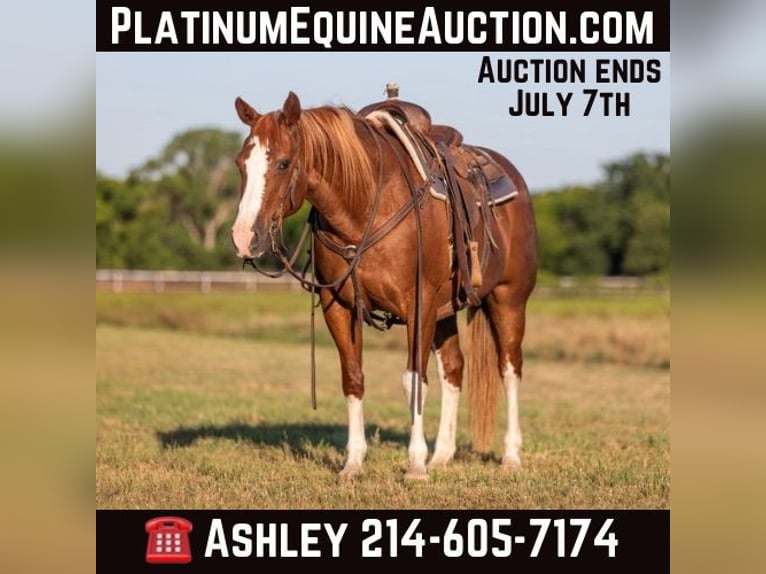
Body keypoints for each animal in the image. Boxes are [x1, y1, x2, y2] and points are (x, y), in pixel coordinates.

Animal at [230, 91, 538, 480]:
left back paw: (510, 456)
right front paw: (353, 463)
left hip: (509, 298)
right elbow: (353, 377)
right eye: (241, 163)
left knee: (509, 368)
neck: (364, 208)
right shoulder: (338, 306)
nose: (244, 237)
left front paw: (415, 465)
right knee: (453, 369)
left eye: (284, 163)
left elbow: (413, 381)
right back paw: (443, 455)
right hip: (445, 311)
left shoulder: (417, 304)